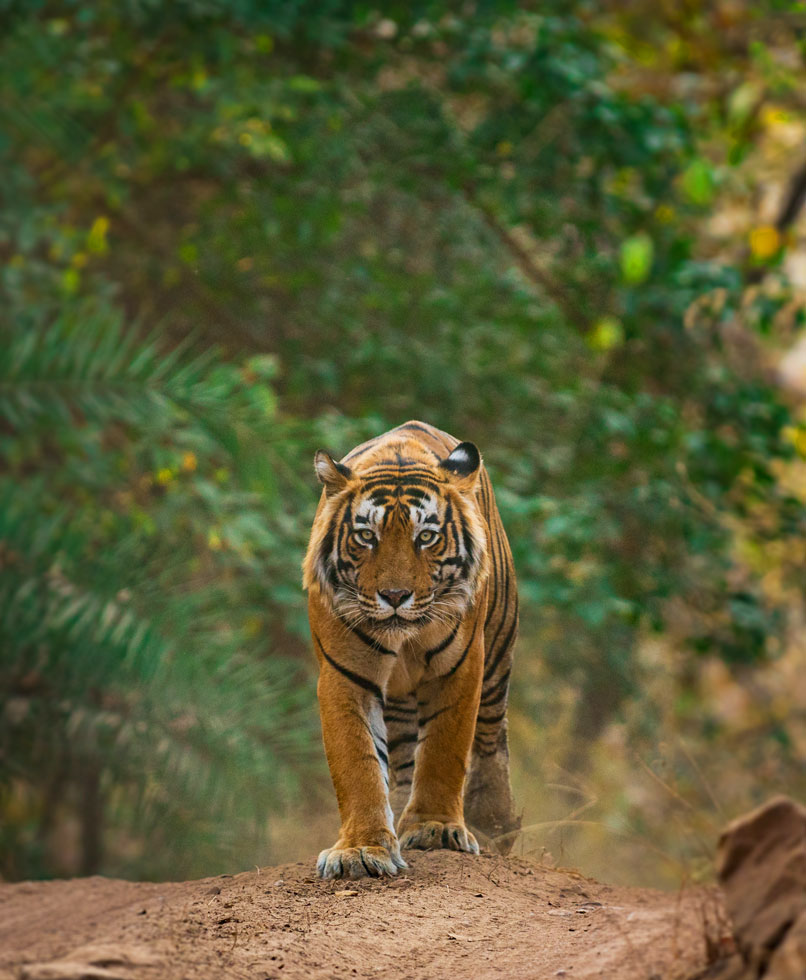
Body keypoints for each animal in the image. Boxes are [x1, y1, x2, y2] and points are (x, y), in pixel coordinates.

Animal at [303, 420, 520, 879]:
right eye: (367, 536)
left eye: (427, 537)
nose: (395, 596)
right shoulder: (344, 675)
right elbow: (359, 763)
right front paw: (362, 849)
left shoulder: (460, 669)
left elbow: (444, 750)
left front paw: (436, 829)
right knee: (402, 760)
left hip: (497, 658)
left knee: (491, 737)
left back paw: (494, 825)